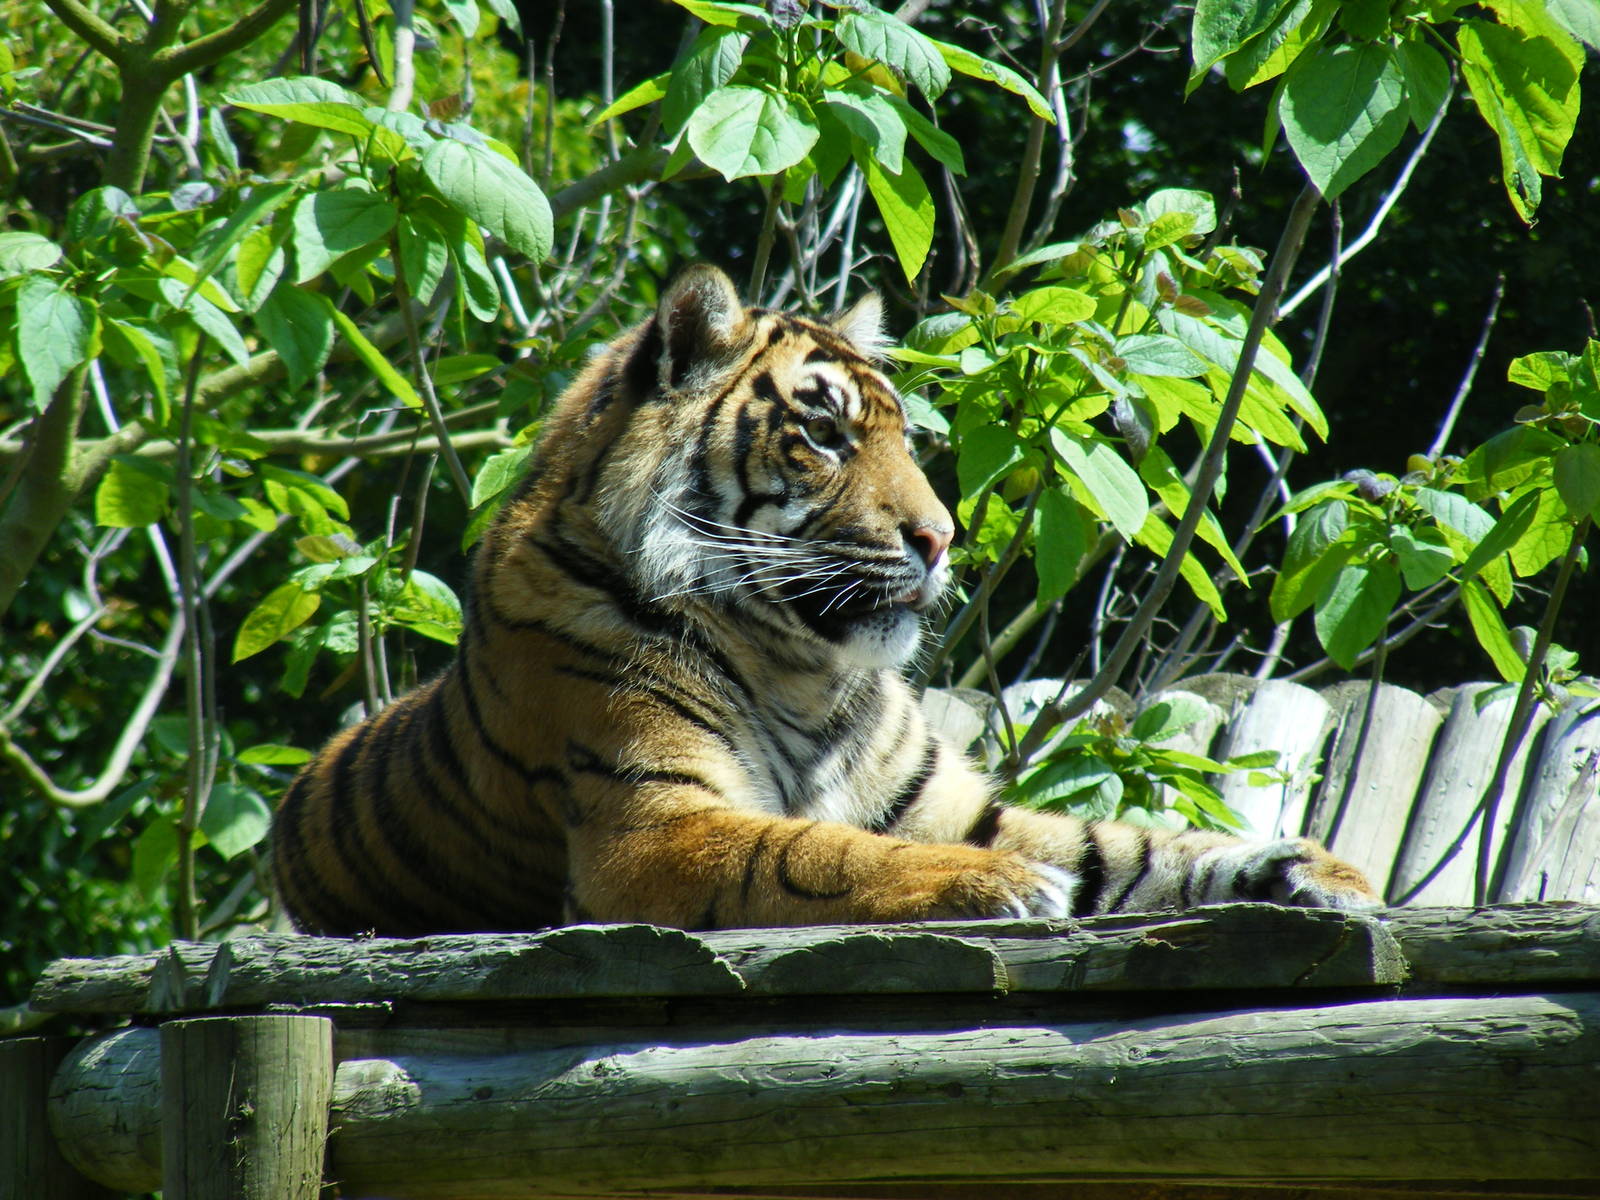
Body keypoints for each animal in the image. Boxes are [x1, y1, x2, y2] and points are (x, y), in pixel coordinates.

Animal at [271, 263, 1379, 936]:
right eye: (824, 434)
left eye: (905, 438)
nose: (941, 538)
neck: (798, 667)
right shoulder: (654, 827)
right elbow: (818, 851)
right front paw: (998, 886)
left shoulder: (957, 806)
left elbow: (1132, 841)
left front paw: (1314, 869)